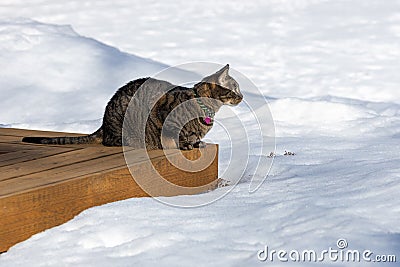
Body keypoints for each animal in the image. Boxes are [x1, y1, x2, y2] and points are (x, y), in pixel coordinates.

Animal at [22, 63, 244, 150]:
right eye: (235, 89)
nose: (242, 97)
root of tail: (103, 124)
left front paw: (198, 143)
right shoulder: (166, 116)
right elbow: (178, 136)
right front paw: (187, 145)